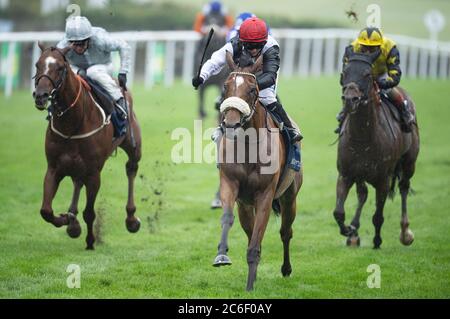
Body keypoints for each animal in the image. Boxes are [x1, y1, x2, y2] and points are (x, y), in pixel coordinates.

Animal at [32, 44, 142, 250]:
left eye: (60, 67)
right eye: (37, 64)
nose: (40, 95)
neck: (72, 123)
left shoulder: (93, 173)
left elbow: (89, 212)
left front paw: (90, 241)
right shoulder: (54, 168)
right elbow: (46, 211)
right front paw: (67, 219)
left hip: (133, 146)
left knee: (131, 168)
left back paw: (131, 219)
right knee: (77, 181)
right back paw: (73, 222)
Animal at [214, 53, 304, 292]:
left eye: (253, 89)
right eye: (225, 87)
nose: (231, 124)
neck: (249, 148)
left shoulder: (265, 193)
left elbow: (258, 241)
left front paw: (249, 287)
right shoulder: (230, 184)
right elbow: (228, 218)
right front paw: (221, 255)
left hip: (290, 196)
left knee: (285, 232)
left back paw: (286, 269)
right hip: (246, 205)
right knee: (251, 230)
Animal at [332, 50, 420, 250]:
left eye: (367, 73)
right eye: (345, 72)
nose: (350, 100)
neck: (363, 137)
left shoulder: (383, 180)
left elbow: (378, 216)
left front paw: (377, 240)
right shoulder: (346, 174)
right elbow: (338, 212)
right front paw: (349, 230)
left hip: (409, 163)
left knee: (404, 187)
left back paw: (406, 233)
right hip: (361, 175)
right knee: (363, 194)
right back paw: (354, 232)